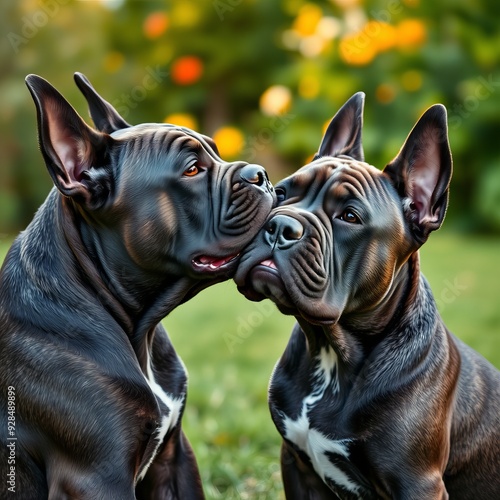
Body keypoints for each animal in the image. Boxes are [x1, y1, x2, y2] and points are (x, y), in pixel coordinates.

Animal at [235, 94, 500, 500]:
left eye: (349, 216)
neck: (332, 352)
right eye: (280, 193)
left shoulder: (417, 483)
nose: (279, 224)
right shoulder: (296, 464)